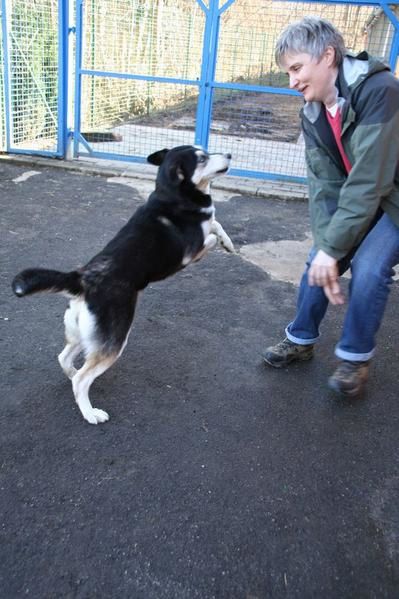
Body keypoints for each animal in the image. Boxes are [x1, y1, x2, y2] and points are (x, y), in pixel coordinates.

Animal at [11, 146, 234, 426]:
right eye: (202, 157)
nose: (229, 154)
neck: (172, 195)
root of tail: (83, 278)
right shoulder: (191, 253)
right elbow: (211, 232)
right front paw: (223, 241)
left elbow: (216, 225)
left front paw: (229, 243)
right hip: (114, 339)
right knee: (81, 381)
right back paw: (90, 413)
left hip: (85, 335)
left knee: (65, 359)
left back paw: (72, 375)